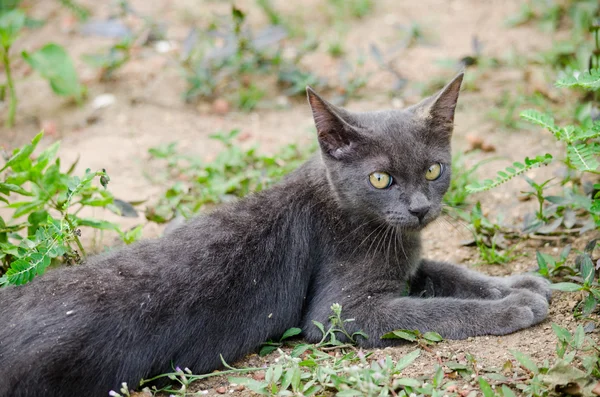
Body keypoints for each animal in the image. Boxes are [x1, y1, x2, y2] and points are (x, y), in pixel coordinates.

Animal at [0, 72, 552, 396]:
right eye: (381, 179)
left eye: (435, 170)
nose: (419, 208)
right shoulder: (343, 311)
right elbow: (435, 310)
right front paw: (513, 306)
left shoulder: (407, 263)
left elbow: (447, 272)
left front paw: (520, 284)